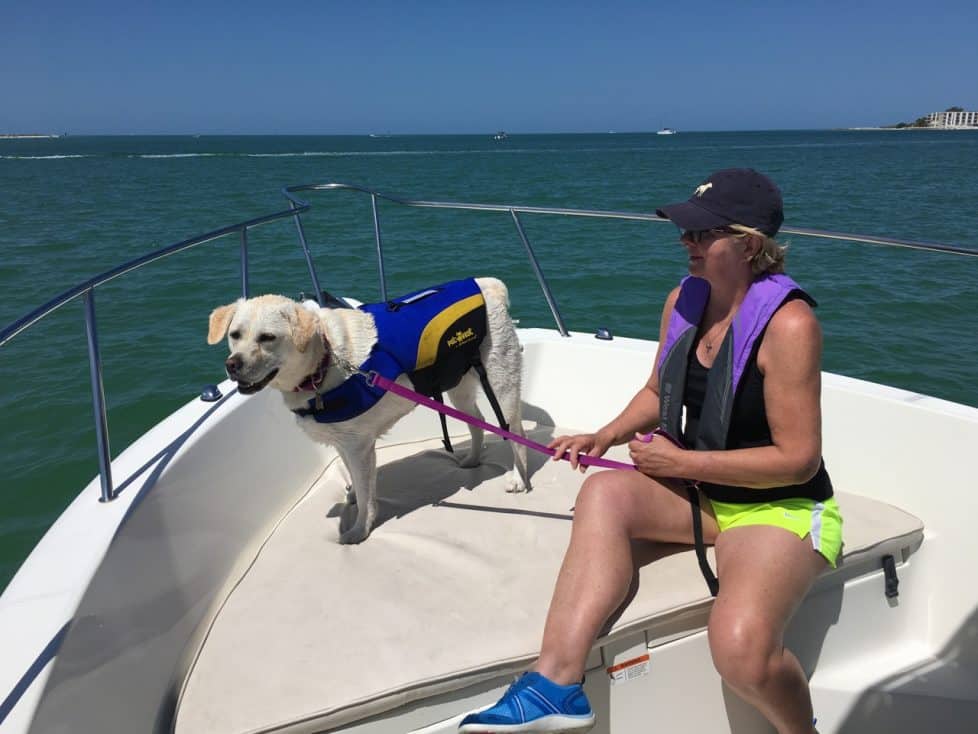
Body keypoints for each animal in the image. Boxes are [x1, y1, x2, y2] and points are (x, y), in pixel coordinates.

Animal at [204, 278, 528, 544]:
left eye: (268, 337)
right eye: (235, 335)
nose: (232, 365)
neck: (324, 360)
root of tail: (488, 287)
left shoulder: (359, 446)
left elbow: (365, 493)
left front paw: (359, 530)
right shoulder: (343, 442)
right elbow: (354, 479)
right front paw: (351, 498)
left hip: (502, 383)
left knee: (516, 433)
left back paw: (518, 479)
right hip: (457, 386)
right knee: (479, 421)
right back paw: (472, 459)